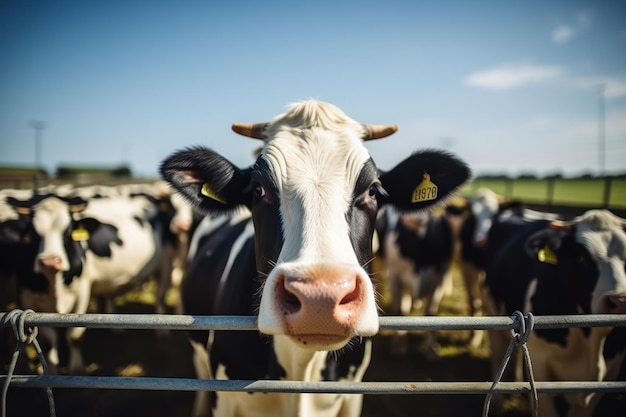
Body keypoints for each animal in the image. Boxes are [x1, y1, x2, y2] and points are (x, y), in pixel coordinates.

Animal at [4, 190, 165, 372]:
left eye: (68, 232)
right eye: (33, 234)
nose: (50, 262)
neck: (55, 285)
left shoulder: (82, 292)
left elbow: (74, 336)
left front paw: (76, 368)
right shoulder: (28, 299)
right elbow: (48, 341)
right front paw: (52, 370)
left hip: (165, 264)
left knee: (160, 295)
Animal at [370, 206, 454, 356]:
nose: (414, 218)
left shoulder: (439, 279)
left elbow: (430, 313)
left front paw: (430, 348)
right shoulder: (395, 276)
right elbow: (401, 312)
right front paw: (399, 345)